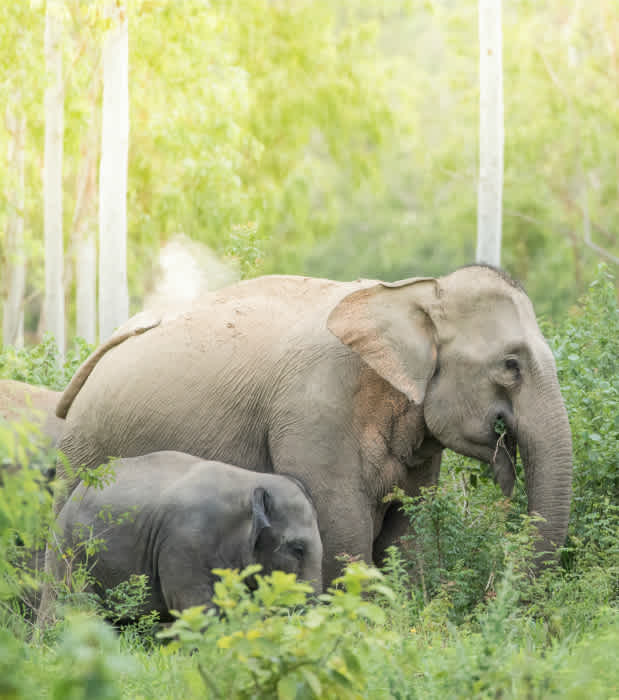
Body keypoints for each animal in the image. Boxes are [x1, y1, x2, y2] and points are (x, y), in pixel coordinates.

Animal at [54, 265, 573, 583]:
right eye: (511, 365)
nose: (496, 590)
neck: (410, 292)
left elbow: (408, 529)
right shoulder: (314, 412)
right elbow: (342, 527)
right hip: (83, 452)